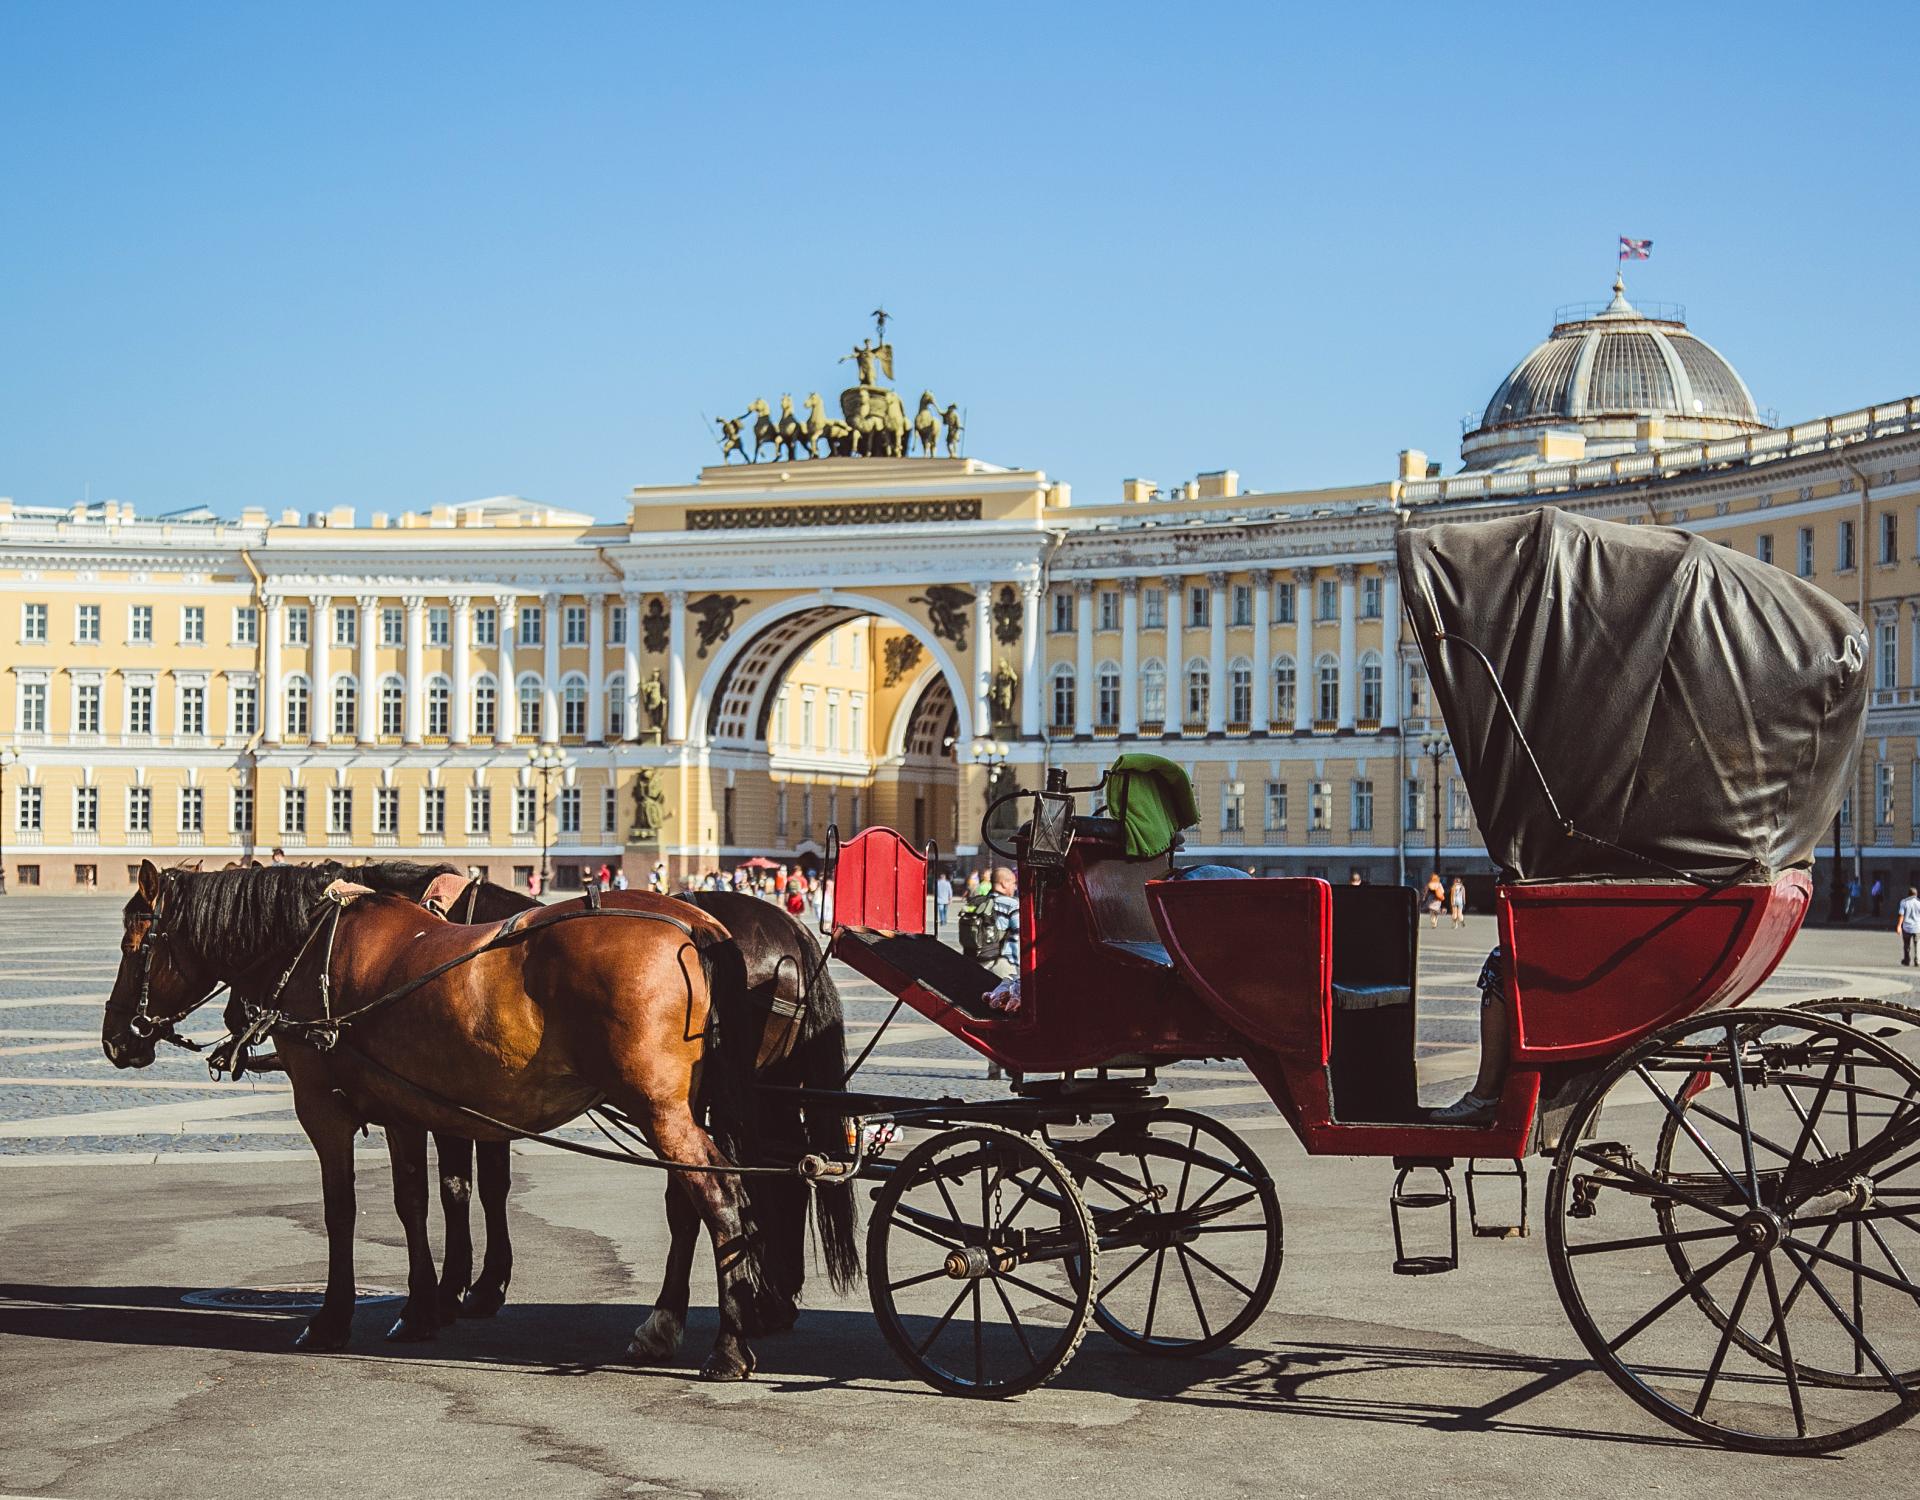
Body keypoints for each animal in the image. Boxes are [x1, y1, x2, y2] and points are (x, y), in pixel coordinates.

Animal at [103, 860, 771, 1375]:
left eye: (133, 947)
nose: (115, 1039)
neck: (318, 950)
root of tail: (696, 925)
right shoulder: (407, 1109)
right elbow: (417, 1201)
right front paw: (424, 1305)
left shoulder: (323, 1107)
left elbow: (342, 1209)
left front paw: (332, 1318)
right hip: (682, 1111)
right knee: (697, 1200)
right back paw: (679, 1326)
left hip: (661, 1112)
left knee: (720, 1199)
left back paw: (729, 1346)